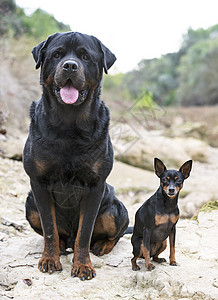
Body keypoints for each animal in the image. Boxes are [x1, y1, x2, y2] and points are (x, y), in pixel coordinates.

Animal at [23, 31, 129, 280]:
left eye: (85, 56)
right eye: (57, 54)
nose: (70, 66)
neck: (69, 123)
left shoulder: (95, 185)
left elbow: (85, 232)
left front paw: (83, 265)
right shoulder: (39, 183)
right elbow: (49, 229)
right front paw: (49, 259)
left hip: (115, 209)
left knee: (113, 234)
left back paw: (102, 246)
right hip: (30, 204)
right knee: (56, 232)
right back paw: (62, 246)